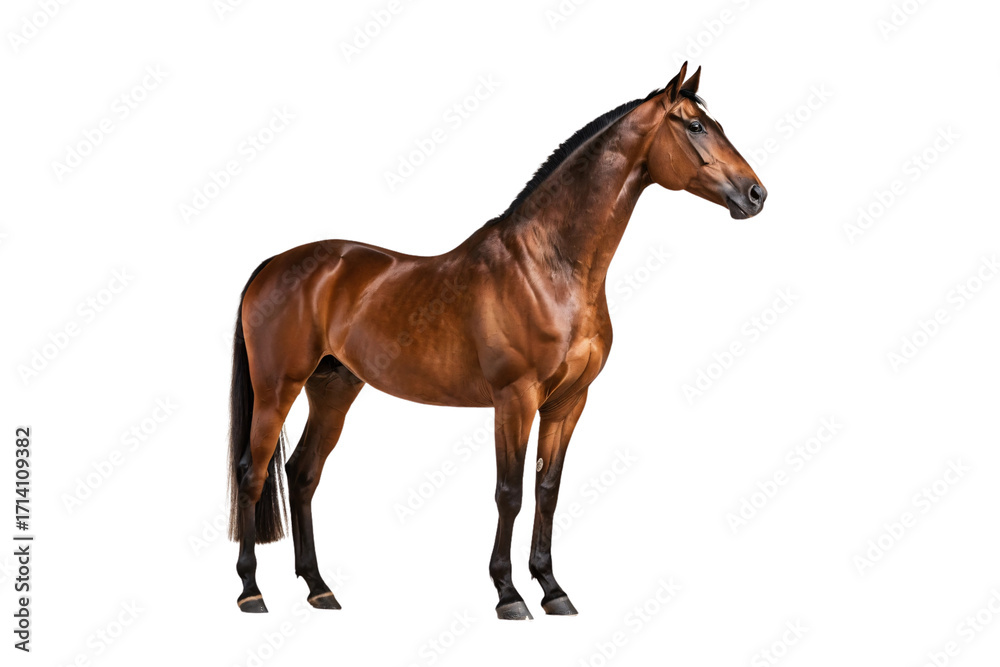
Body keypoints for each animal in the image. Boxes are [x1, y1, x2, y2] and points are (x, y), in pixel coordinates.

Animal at [227, 62, 766, 620]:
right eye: (695, 126)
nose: (755, 194)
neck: (549, 268)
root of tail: (273, 265)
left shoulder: (568, 402)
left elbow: (547, 490)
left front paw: (553, 588)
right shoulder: (515, 398)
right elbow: (509, 493)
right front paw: (509, 594)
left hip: (333, 389)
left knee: (302, 473)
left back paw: (319, 588)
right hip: (276, 389)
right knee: (253, 473)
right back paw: (250, 591)